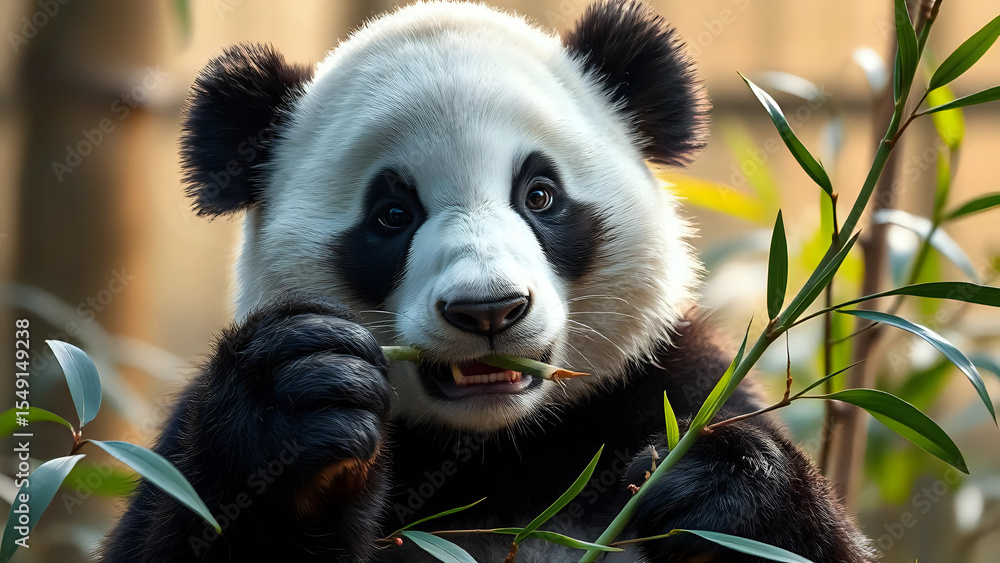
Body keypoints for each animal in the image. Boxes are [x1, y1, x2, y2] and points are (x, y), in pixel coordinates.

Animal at [101, 1, 877, 561]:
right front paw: (294, 409)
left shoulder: (667, 381)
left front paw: (713, 485)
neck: (498, 452)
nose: (489, 310)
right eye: (392, 214)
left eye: (539, 195)